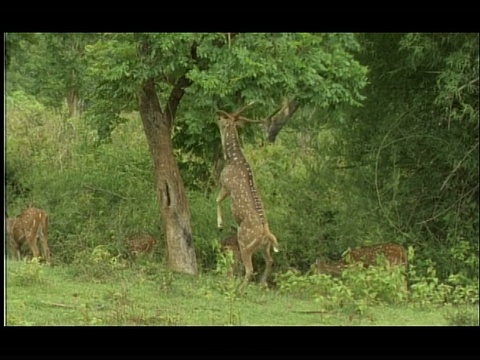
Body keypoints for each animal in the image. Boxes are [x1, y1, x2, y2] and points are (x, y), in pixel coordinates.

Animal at [216, 105, 280, 288]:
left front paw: (220, 224)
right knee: (270, 261)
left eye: (224, 118)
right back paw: (261, 284)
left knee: (250, 269)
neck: (232, 158)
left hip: (244, 242)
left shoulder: (226, 183)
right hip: (264, 248)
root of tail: (266, 235)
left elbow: (217, 200)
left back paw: (240, 287)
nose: (216, 115)